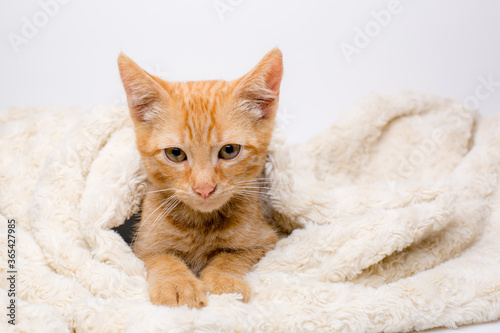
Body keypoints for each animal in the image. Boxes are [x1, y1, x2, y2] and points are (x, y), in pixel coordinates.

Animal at [116, 48, 282, 308]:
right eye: (175, 154)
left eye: (230, 150)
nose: (205, 188)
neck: (200, 224)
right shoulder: (144, 246)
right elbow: (164, 258)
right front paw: (177, 285)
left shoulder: (266, 241)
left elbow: (231, 256)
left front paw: (225, 281)